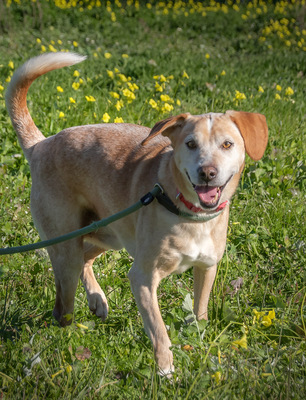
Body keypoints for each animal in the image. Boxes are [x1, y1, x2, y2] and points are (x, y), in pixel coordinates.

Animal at [5, 53, 268, 376]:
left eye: (227, 144)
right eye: (190, 144)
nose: (207, 172)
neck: (186, 212)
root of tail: (41, 144)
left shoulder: (207, 268)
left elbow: (200, 312)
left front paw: (198, 344)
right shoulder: (142, 278)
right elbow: (159, 329)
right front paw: (165, 369)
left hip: (108, 235)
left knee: (86, 259)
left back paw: (97, 300)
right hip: (67, 249)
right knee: (62, 307)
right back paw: (69, 337)